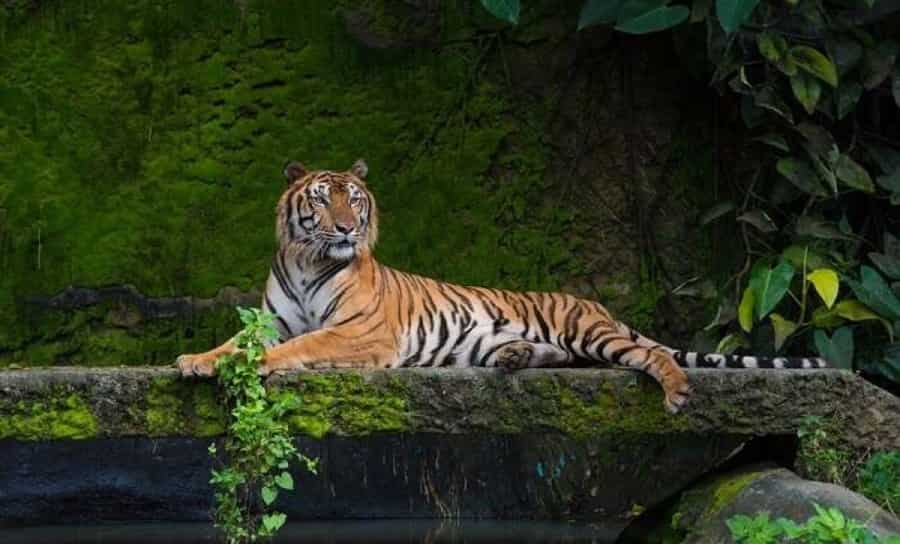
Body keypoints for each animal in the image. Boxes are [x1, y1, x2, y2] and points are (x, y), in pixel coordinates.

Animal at [176, 159, 827, 413]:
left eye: (353, 200)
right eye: (320, 199)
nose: (344, 228)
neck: (311, 261)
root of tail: (598, 304)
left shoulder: (361, 334)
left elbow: (300, 346)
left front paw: (251, 366)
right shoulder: (272, 319)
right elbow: (235, 343)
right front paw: (195, 360)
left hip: (588, 331)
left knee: (645, 355)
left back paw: (677, 392)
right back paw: (514, 357)